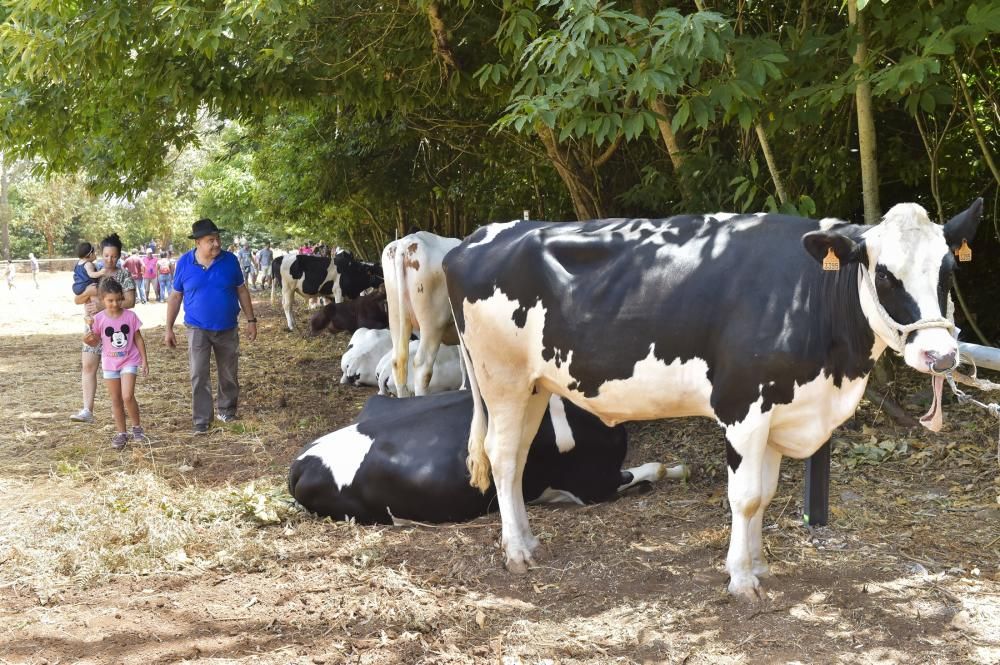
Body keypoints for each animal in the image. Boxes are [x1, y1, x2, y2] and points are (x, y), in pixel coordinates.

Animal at [446, 198, 984, 596]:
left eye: (948, 270)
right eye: (885, 274)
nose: (940, 355)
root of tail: (474, 239)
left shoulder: (779, 412)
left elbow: (766, 493)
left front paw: (758, 563)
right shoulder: (744, 407)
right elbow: (744, 498)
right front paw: (742, 579)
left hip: (534, 386)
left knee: (516, 457)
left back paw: (527, 540)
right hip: (502, 379)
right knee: (502, 456)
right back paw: (516, 552)